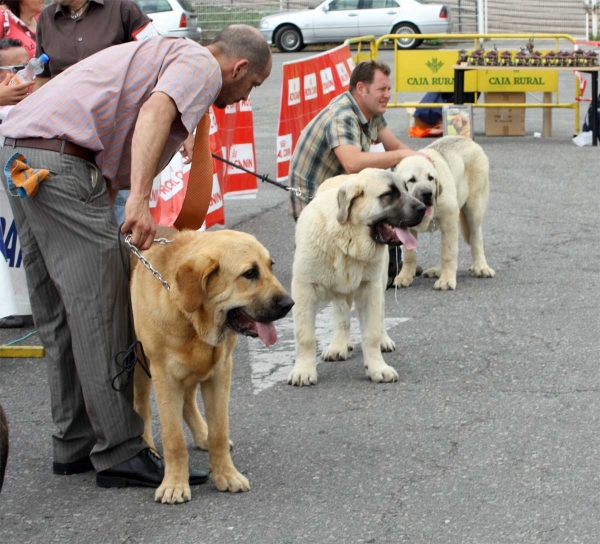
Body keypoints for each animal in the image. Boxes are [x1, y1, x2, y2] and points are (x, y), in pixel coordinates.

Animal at [290, 168, 426, 384]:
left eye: (406, 189)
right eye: (389, 195)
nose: (423, 208)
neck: (347, 238)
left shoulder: (370, 288)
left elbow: (372, 333)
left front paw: (377, 368)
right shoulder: (303, 289)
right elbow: (305, 336)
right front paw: (303, 370)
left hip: (379, 280)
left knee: (380, 314)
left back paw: (383, 340)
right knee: (341, 315)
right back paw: (339, 345)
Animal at [392, 135, 494, 292]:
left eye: (430, 178)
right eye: (412, 180)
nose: (428, 194)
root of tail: (468, 139)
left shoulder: (450, 220)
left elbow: (448, 254)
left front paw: (446, 280)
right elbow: (409, 254)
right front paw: (405, 276)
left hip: (473, 209)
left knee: (476, 239)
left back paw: (481, 267)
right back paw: (438, 270)